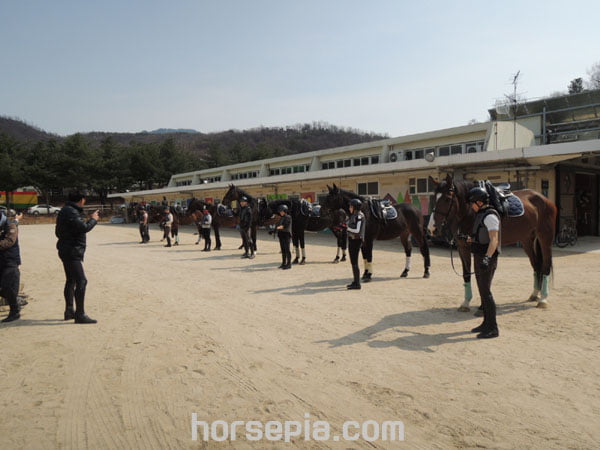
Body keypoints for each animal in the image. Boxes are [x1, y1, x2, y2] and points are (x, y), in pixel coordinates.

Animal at [426, 175, 556, 310]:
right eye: (434, 198)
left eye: (447, 199)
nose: (431, 229)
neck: (471, 212)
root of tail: (544, 199)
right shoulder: (463, 248)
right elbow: (467, 274)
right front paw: (466, 303)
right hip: (527, 240)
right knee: (536, 265)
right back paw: (535, 294)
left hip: (545, 239)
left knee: (546, 267)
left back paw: (543, 299)